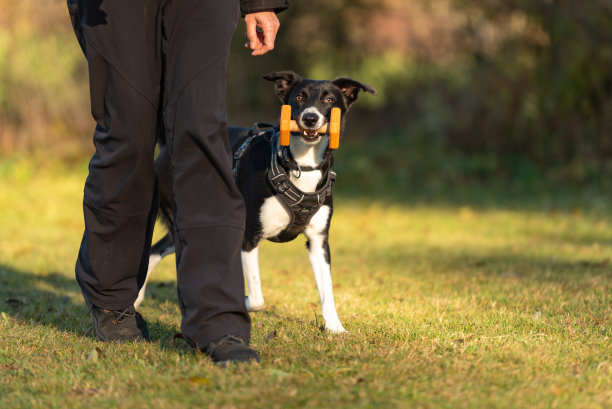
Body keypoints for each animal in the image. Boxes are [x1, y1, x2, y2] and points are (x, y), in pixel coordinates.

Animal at [137, 70, 378, 332]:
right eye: (299, 97)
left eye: (329, 100)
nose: (310, 118)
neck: (300, 165)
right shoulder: (249, 235)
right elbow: (256, 298)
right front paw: (240, 302)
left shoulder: (318, 241)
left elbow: (327, 289)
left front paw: (335, 327)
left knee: (156, 250)